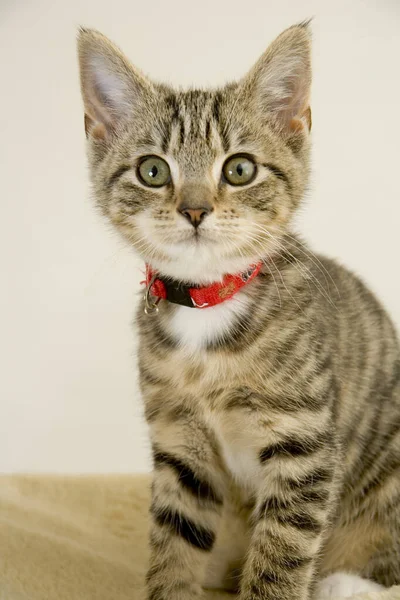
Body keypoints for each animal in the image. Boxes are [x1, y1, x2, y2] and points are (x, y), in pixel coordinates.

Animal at [76, 21, 398, 596]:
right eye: (152, 171)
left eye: (240, 169)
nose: (195, 209)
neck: (209, 305)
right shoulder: (179, 441)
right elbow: (175, 541)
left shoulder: (305, 443)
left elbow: (283, 550)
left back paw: (347, 584)